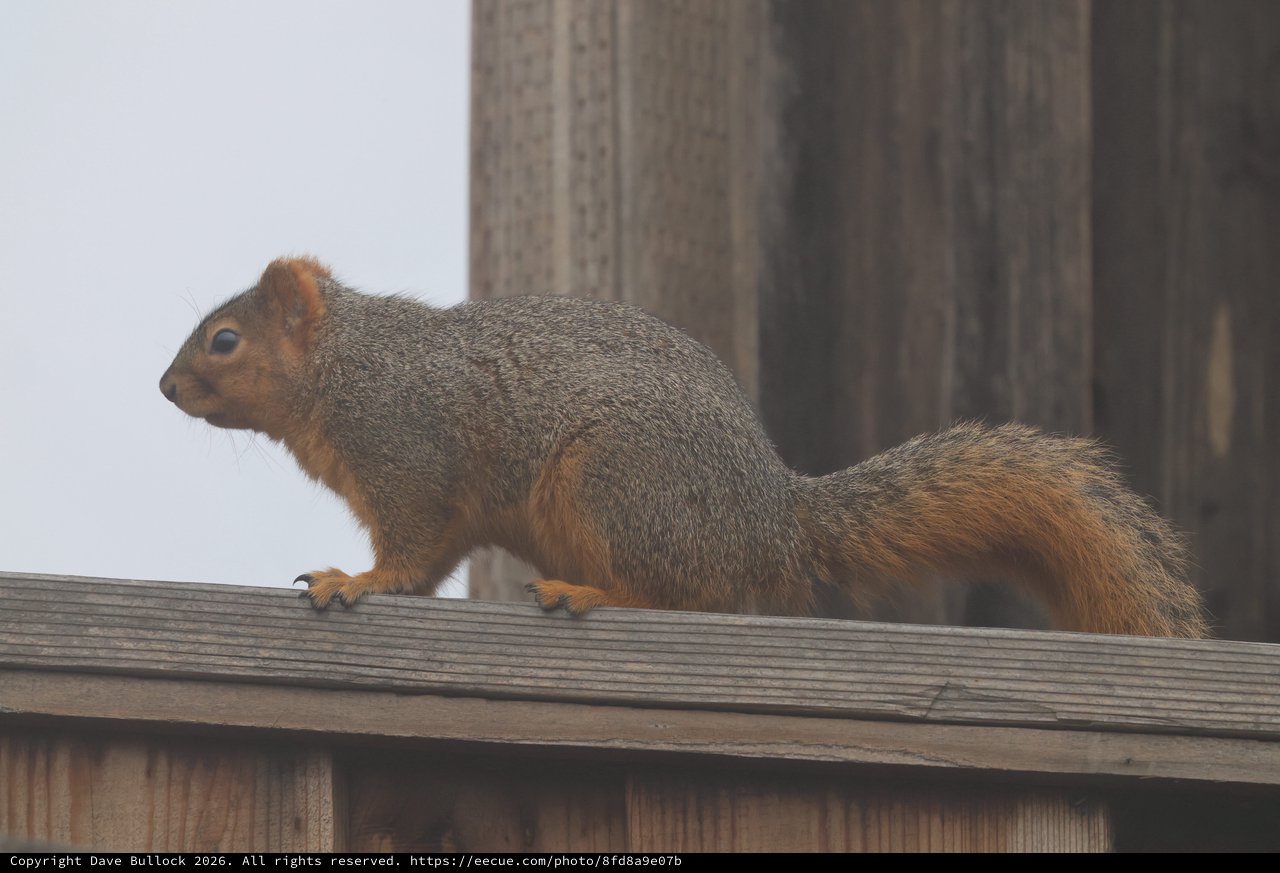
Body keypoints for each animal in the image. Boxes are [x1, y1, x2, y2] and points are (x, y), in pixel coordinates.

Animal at [159, 256, 1209, 638]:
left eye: (225, 341)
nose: (165, 387)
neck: (348, 366)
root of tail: (774, 517)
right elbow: (435, 561)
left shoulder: (406, 447)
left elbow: (410, 548)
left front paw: (355, 581)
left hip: (617, 482)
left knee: (681, 592)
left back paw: (586, 592)